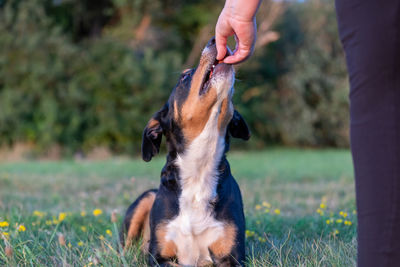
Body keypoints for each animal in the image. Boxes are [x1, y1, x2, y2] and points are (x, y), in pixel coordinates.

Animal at [121, 36, 250, 266]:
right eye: (184, 77)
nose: (214, 39)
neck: (200, 166)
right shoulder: (160, 257)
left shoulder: (231, 257)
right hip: (145, 198)